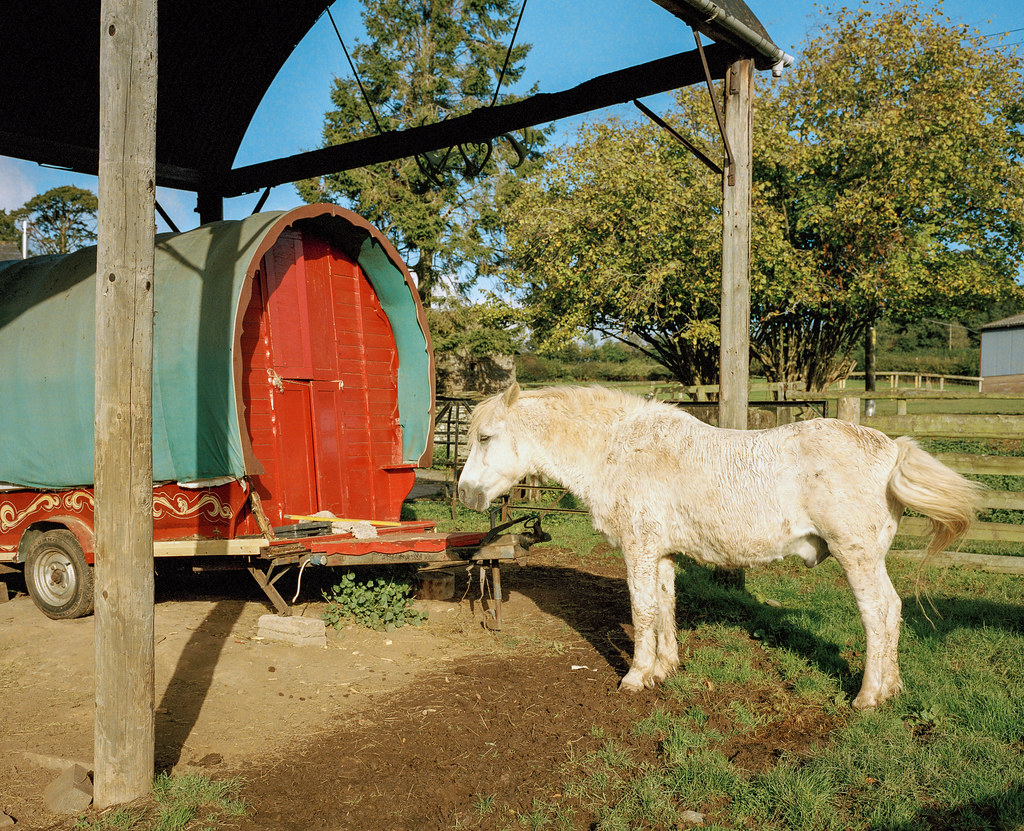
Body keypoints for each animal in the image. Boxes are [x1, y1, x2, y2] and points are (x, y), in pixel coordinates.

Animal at [460, 382, 978, 708]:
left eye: (485, 437)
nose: (464, 494)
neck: (619, 450)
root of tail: (891, 449)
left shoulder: (638, 549)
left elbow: (642, 611)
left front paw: (635, 677)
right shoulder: (661, 553)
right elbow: (665, 607)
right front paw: (664, 670)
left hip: (858, 558)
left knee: (878, 613)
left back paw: (869, 696)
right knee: (893, 612)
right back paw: (892, 689)